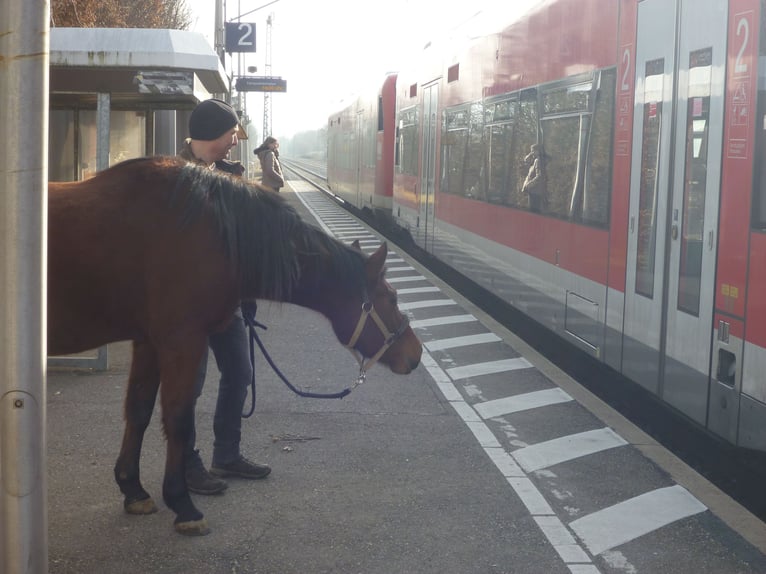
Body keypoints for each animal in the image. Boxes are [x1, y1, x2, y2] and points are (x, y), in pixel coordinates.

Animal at [48, 156, 424, 536]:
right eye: (391, 298)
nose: (415, 353)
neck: (209, 233)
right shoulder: (181, 340)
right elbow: (178, 419)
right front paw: (182, 504)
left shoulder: (148, 341)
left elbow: (139, 411)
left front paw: (133, 489)